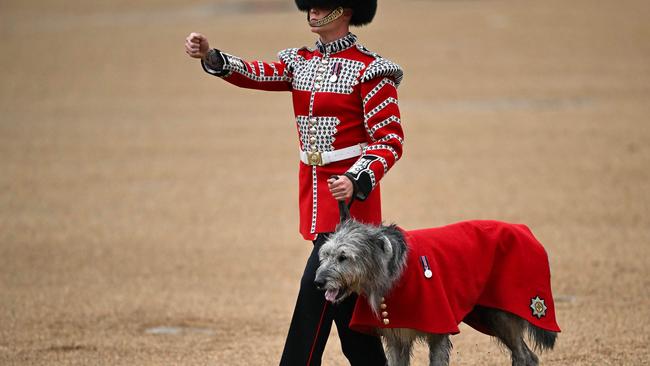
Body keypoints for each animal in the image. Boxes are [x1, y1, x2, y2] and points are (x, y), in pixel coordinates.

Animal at [312, 219, 556, 366]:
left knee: (524, 356)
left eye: (344, 257)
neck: (395, 275)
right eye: (325, 254)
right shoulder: (396, 336)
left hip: (503, 315)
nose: (318, 282)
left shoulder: (438, 329)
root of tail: (522, 228)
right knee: (526, 355)